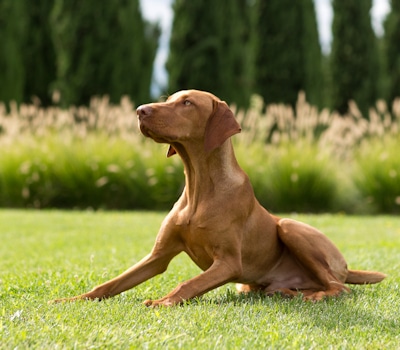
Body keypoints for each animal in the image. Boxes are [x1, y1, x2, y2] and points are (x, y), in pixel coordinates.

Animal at [49, 90, 384, 306]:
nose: (140, 110)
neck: (198, 185)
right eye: (167, 100)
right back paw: (288, 293)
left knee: (339, 288)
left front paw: (163, 302)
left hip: (289, 227)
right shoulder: (157, 257)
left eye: (187, 103)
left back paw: (315, 296)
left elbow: (187, 283)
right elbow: (110, 283)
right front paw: (71, 299)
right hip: (246, 285)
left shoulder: (228, 263)